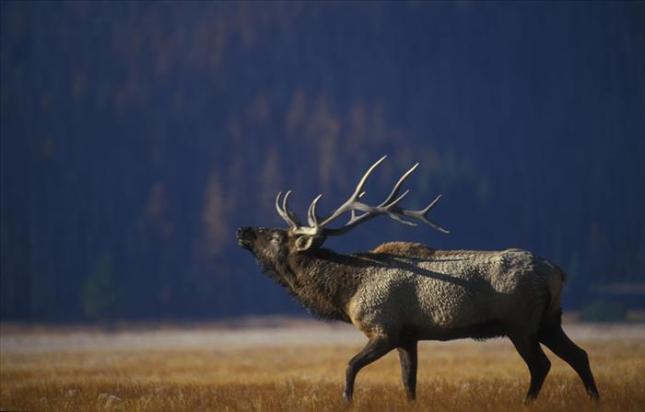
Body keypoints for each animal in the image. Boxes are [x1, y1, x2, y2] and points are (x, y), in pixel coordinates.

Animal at [236, 155, 599, 403]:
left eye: (277, 236)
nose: (243, 229)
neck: (347, 292)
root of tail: (557, 272)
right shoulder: (409, 337)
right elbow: (409, 382)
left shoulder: (384, 329)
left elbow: (350, 367)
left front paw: (347, 401)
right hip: (549, 321)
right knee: (579, 355)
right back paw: (594, 399)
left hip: (520, 324)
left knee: (541, 365)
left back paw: (527, 402)